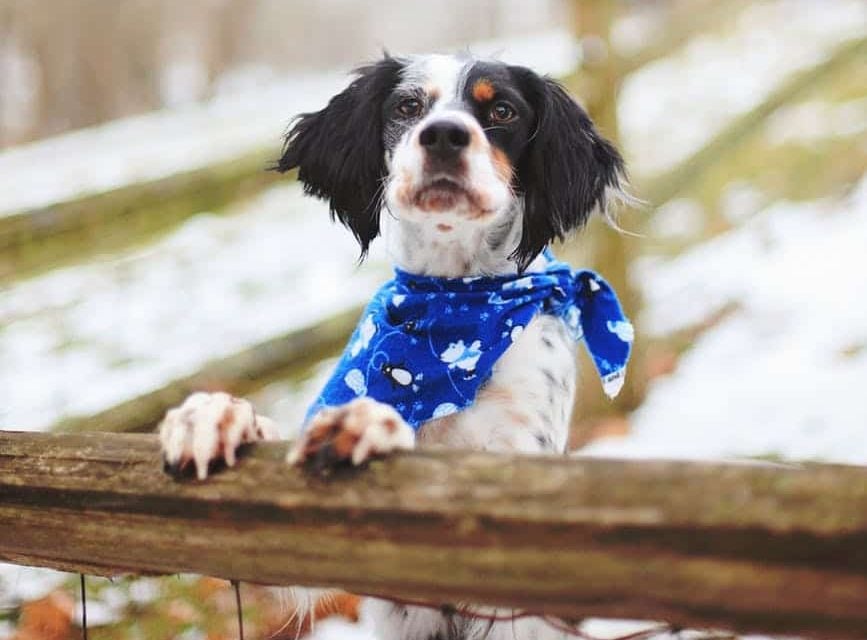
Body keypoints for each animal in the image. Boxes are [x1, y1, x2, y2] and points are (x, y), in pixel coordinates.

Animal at [159, 53, 632, 640]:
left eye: (502, 110)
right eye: (408, 106)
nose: (445, 135)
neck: (454, 310)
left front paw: (368, 423)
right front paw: (213, 416)